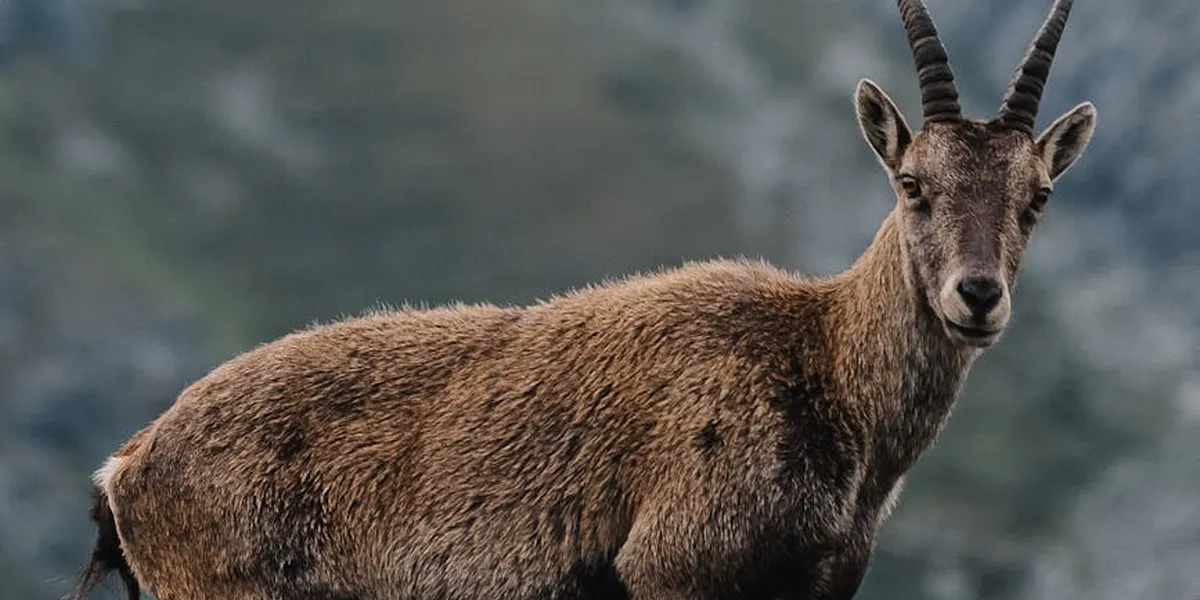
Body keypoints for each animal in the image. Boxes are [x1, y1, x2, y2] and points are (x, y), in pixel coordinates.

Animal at [69, 1, 1096, 599]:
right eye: (913, 184)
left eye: (1037, 196)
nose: (977, 296)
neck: (827, 373)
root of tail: (125, 469)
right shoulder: (676, 565)